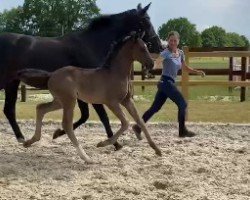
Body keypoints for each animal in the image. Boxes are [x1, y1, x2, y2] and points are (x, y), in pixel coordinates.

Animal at [0, 2, 162, 148]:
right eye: (146, 20)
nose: (159, 45)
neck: (91, 44)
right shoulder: (95, 89)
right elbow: (102, 117)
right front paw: (114, 144)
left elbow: (85, 116)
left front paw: (57, 133)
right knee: (9, 109)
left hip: (12, 83)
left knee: (9, 109)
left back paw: (21, 138)